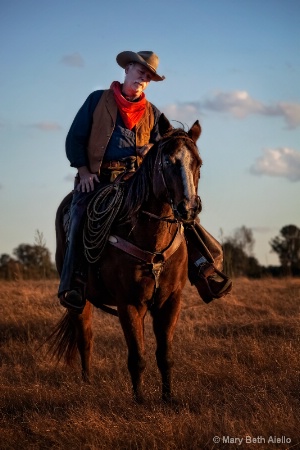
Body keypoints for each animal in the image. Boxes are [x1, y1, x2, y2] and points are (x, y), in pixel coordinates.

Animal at [50, 114, 203, 402]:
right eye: (168, 161)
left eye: (197, 163)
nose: (189, 208)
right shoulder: (129, 303)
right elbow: (137, 357)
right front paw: (140, 401)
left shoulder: (170, 302)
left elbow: (165, 355)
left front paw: (168, 398)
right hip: (79, 301)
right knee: (85, 339)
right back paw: (87, 383)